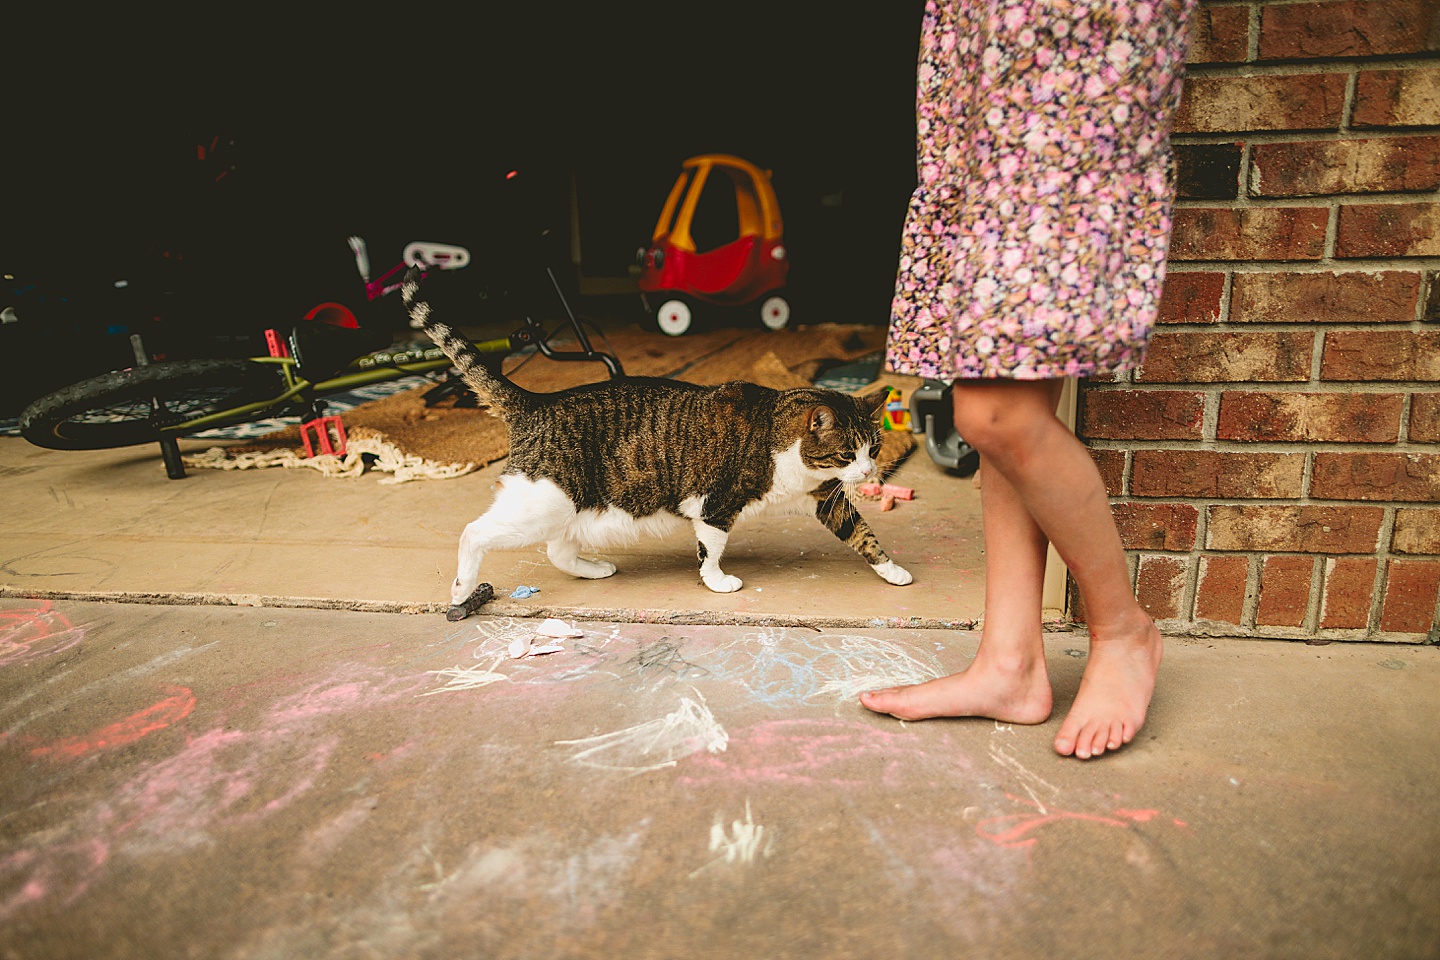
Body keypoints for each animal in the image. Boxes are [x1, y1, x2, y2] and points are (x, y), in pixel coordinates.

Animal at [400, 266, 910, 624]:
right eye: (848, 454)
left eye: (873, 451)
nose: (869, 473)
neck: (781, 442)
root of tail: (536, 402)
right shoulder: (715, 504)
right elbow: (711, 549)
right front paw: (718, 582)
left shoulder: (827, 498)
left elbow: (864, 535)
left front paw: (893, 572)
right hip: (540, 504)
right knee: (475, 532)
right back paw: (462, 588)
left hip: (566, 509)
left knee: (557, 551)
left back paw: (594, 569)